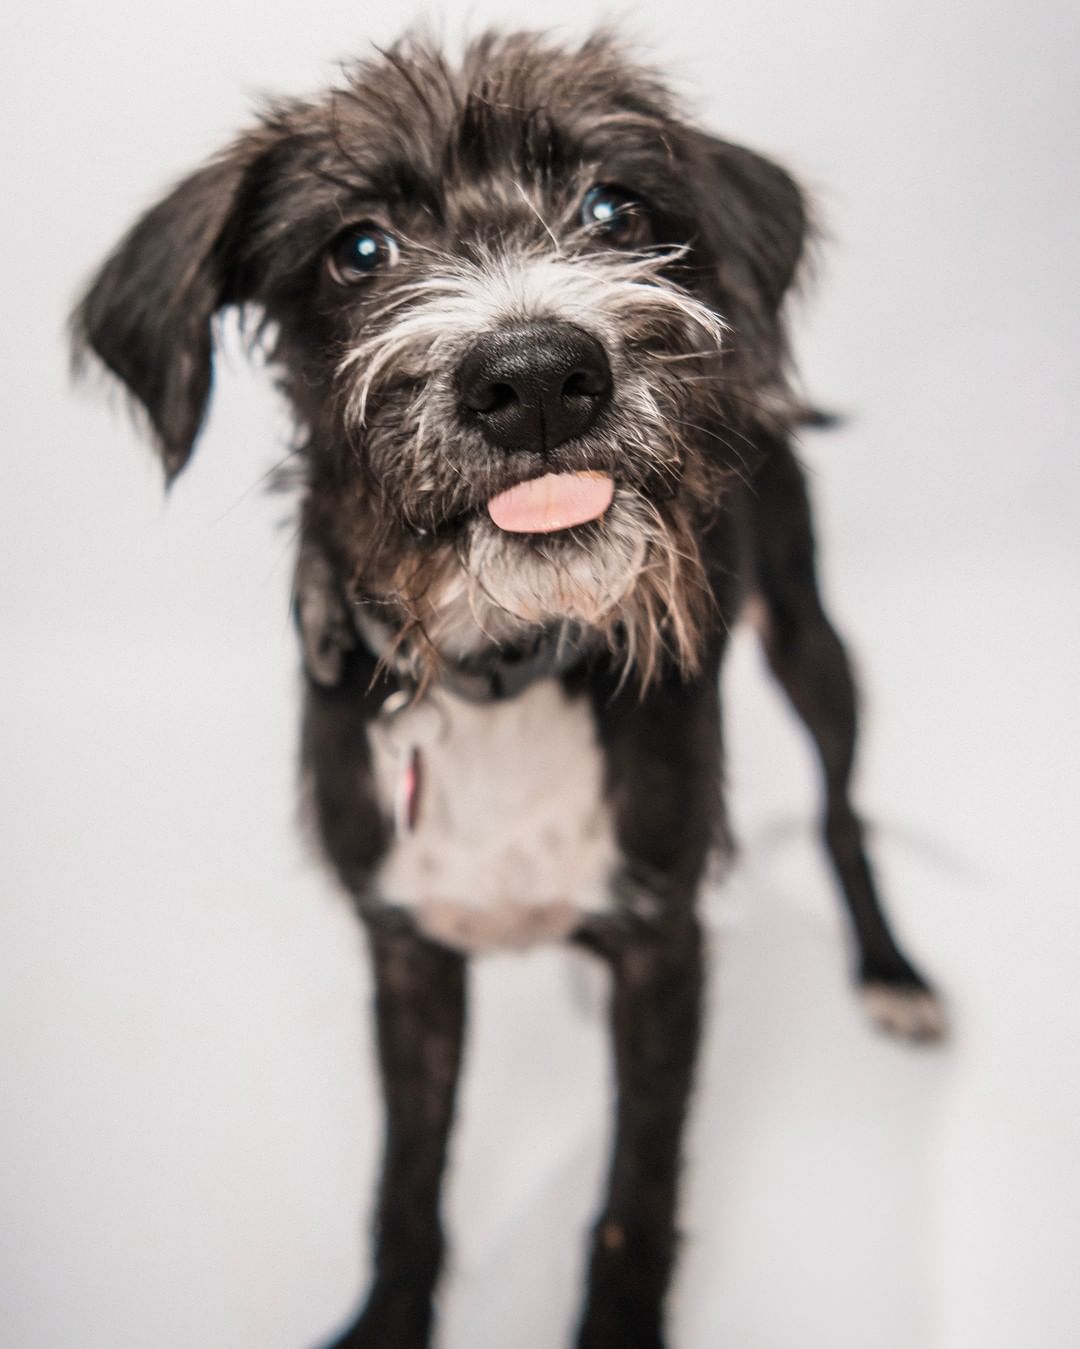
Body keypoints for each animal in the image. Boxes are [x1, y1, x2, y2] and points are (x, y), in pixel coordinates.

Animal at [71, 31, 938, 1349]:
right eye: (359, 247)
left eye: (614, 208)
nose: (536, 376)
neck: (499, 667)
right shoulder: (405, 950)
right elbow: (407, 1177)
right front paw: (388, 1316)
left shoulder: (665, 948)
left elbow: (636, 1189)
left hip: (809, 635)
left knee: (842, 806)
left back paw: (891, 971)